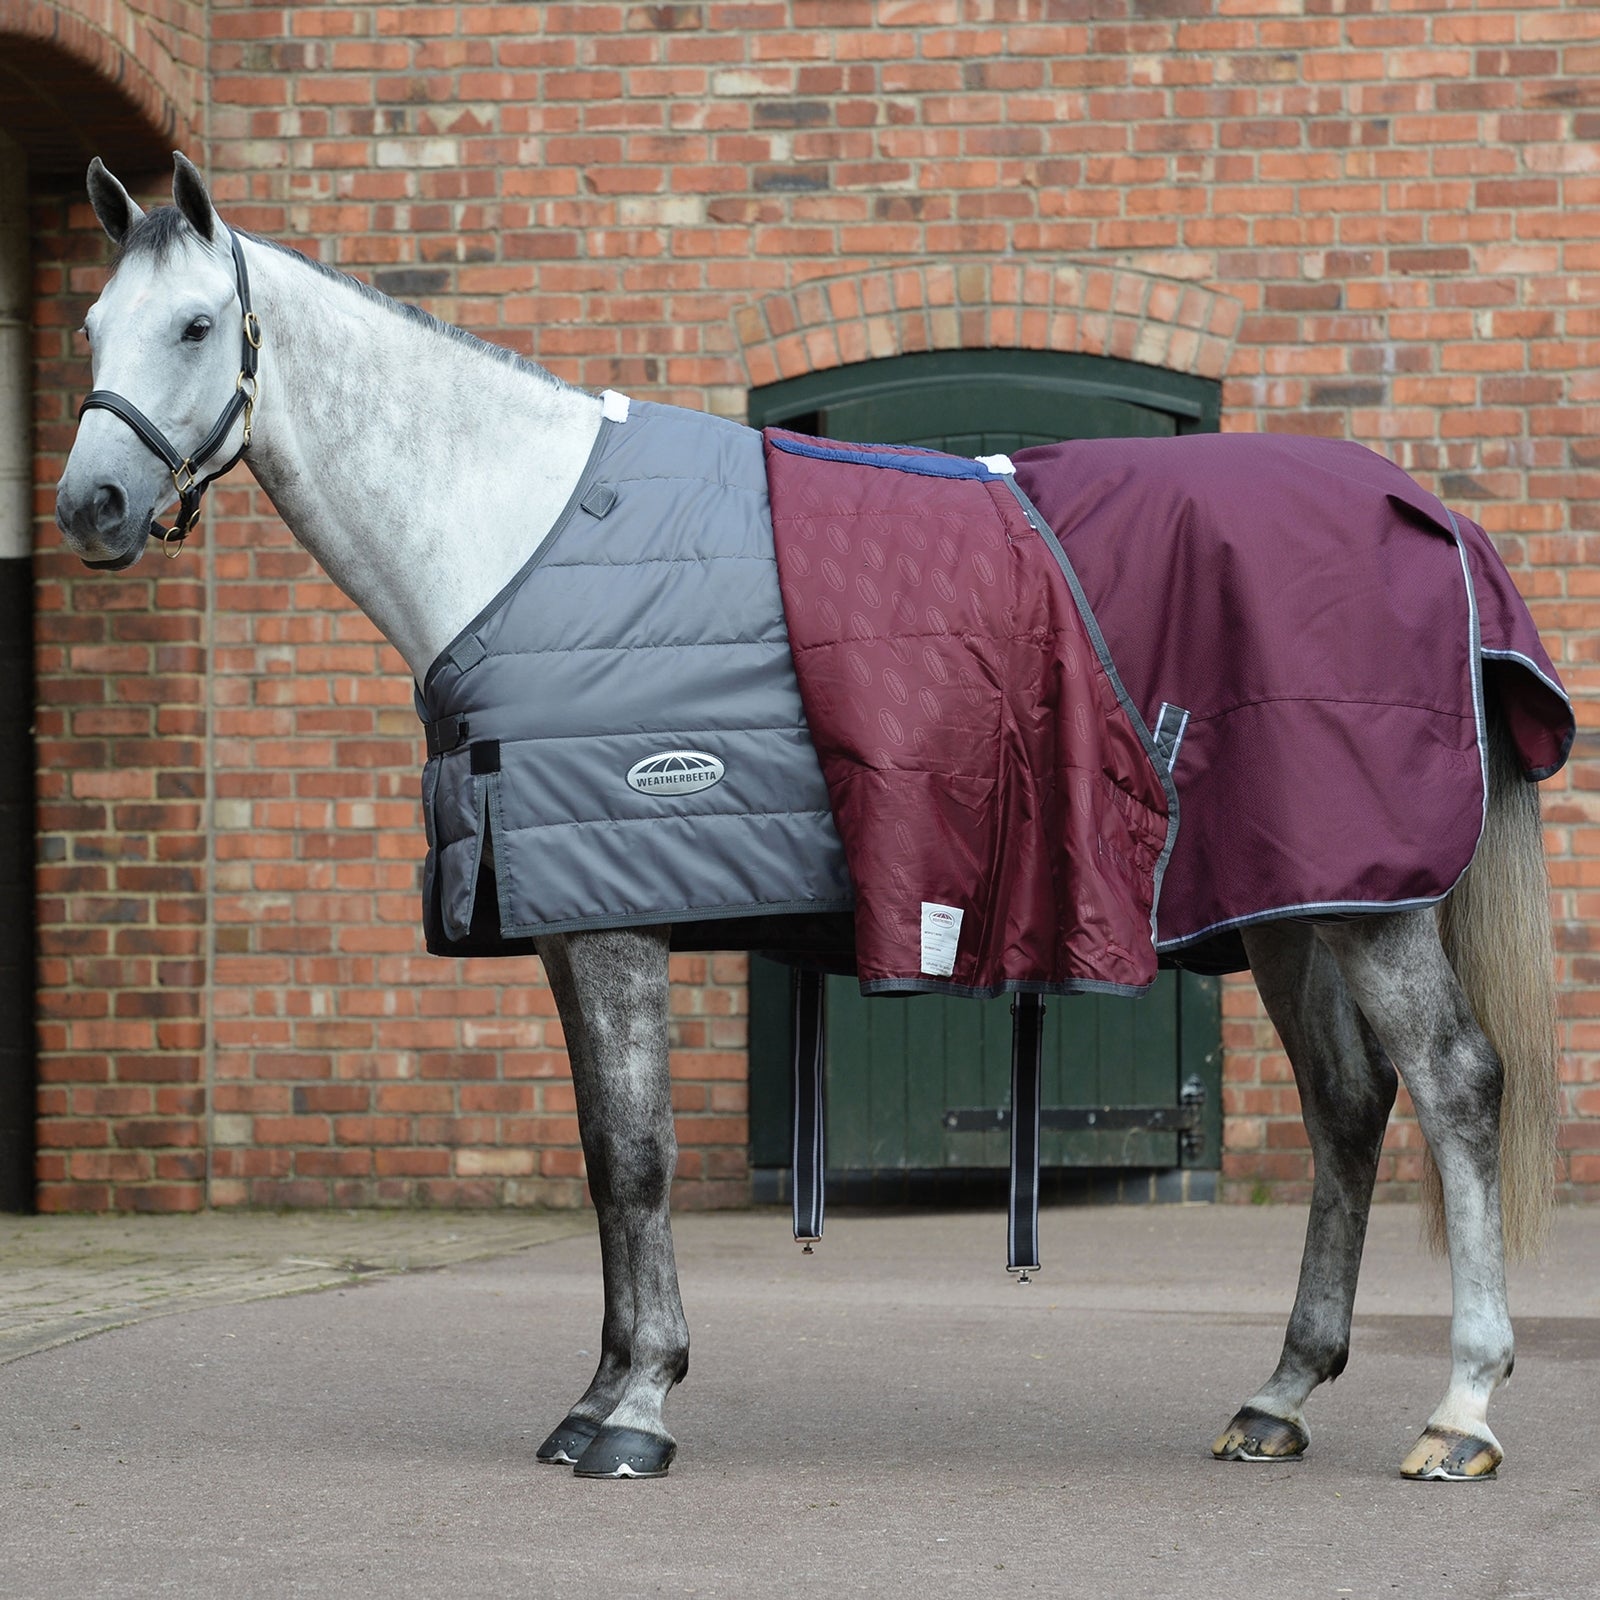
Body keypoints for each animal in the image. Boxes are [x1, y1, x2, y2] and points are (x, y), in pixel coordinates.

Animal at [54, 155, 1562, 1482]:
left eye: (196, 325)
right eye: (88, 327)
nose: (91, 505)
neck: (521, 536)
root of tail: (1427, 514)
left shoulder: (618, 919)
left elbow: (639, 1159)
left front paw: (636, 1410)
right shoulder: (562, 918)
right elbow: (603, 1159)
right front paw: (598, 1394)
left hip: (1368, 905)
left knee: (1455, 1085)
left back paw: (1463, 1411)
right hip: (1293, 905)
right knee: (1349, 1107)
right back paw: (1279, 1395)